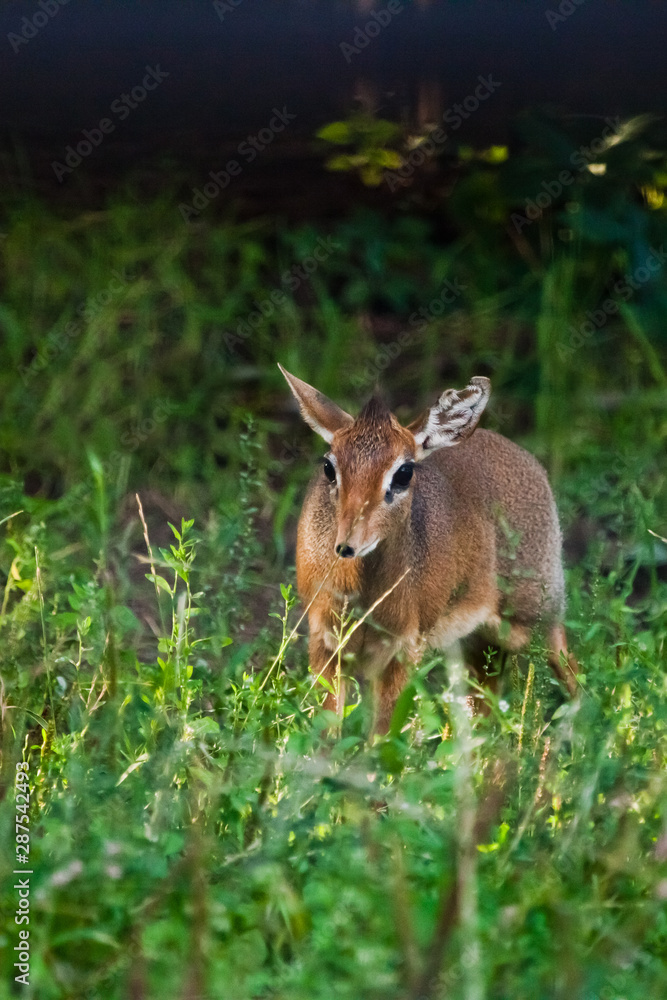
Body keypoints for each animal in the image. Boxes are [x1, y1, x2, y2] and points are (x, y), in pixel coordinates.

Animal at [279, 364, 578, 733]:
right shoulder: (325, 642)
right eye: (328, 467)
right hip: (478, 640)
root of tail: (528, 460)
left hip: (539, 614)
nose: (348, 544)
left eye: (404, 472)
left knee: (572, 674)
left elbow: (384, 737)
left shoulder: (406, 646)